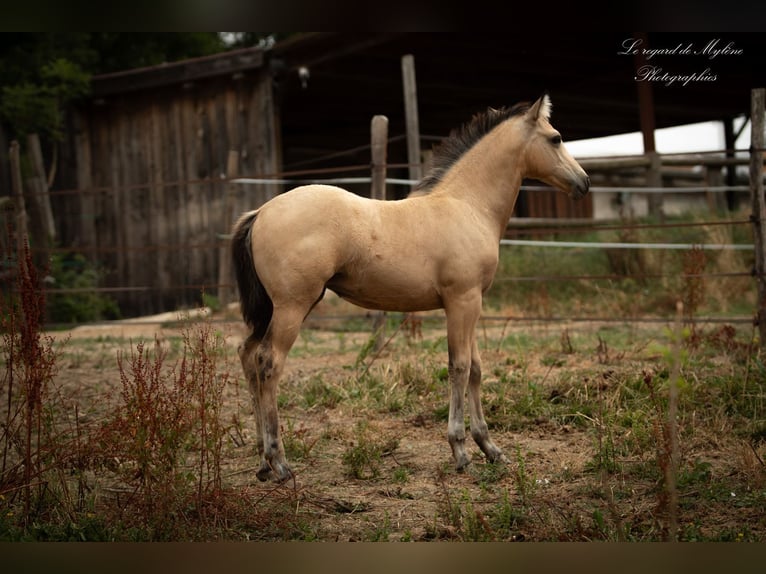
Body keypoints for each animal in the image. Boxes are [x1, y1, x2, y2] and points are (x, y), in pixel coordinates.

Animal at [231, 94, 590, 482]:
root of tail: (260, 213)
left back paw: (262, 463)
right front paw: (460, 450)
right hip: (292, 306)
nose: (584, 183)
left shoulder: (473, 303)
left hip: (273, 309)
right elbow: (459, 366)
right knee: (269, 363)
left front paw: (490, 448)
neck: (468, 206)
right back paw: (279, 461)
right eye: (556, 138)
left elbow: (476, 369)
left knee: (248, 356)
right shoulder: (461, 301)